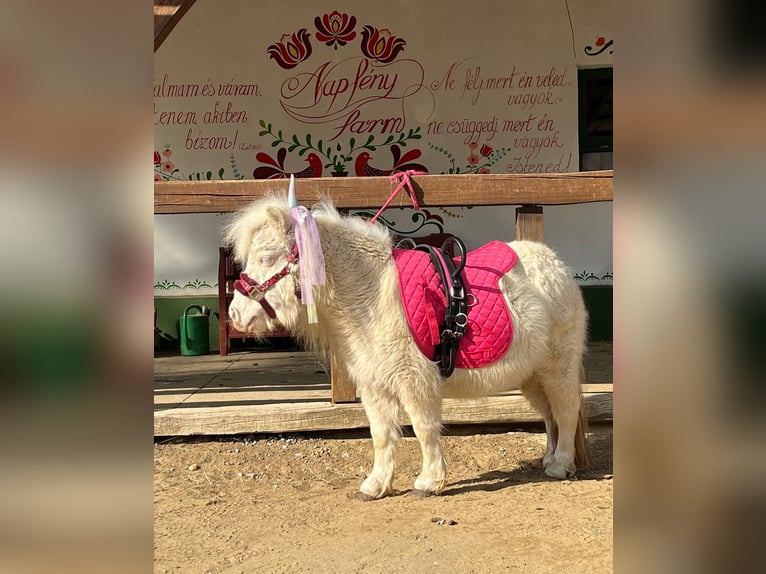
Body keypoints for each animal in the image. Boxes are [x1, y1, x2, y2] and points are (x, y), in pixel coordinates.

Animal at [225, 196, 592, 502]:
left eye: (266, 257)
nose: (235, 315)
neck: (371, 296)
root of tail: (557, 266)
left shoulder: (414, 381)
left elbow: (423, 427)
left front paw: (429, 482)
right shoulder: (374, 386)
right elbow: (381, 434)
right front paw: (375, 486)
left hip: (558, 368)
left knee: (565, 411)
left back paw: (560, 465)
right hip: (532, 376)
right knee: (549, 415)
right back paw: (549, 457)